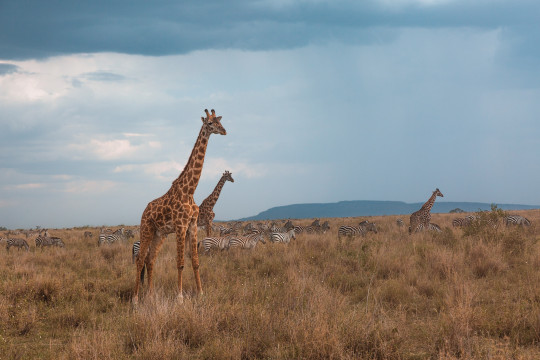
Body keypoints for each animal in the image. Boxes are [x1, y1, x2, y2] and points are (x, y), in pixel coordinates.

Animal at [135, 109, 228, 304]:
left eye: (219, 121)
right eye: (210, 123)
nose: (224, 131)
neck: (190, 190)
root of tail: (144, 211)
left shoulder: (192, 225)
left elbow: (195, 261)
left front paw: (200, 293)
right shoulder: (180, 226)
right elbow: (180, 262)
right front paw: (179, 297)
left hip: (159, 234)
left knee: (150, 259)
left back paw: (151, 295)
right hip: (146, 229)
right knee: (140, 259)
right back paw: (136, 299)